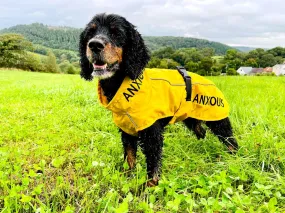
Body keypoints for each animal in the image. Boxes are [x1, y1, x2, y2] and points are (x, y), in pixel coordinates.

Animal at [79, 12, 236, 186]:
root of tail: (210, 81)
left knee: (230, 141)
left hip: (217, 118)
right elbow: (130, 158)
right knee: (201, 131)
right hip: (191, 118)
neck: (122, 86)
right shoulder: (127, 131)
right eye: (90, 33)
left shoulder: (152, 133)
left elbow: (153, 164)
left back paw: (234, 158)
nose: (95, 45)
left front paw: (150, 187)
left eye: (116, 33)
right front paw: (129, 178)